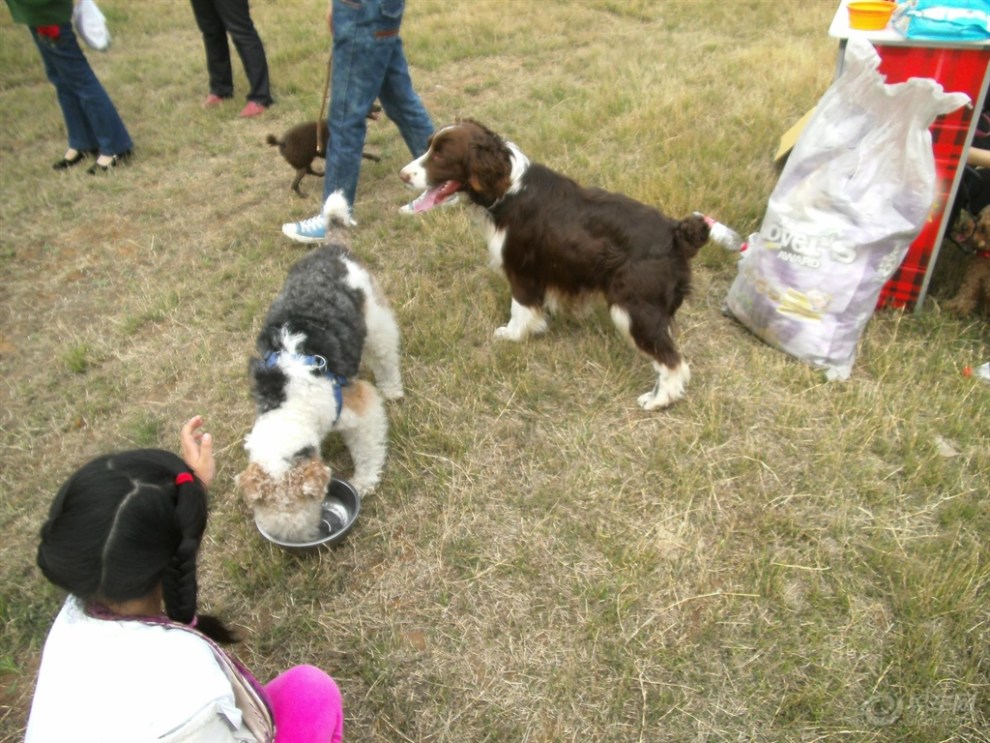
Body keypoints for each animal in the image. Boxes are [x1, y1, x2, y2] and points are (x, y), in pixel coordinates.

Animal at [400, 120, 716, 412]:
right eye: (428, 146)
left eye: (440, 154)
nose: (403, 175)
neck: (507, 189)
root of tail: (676, 234)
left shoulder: (521, 270)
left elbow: (520, 309)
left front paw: (512, 335)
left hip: (634, 308)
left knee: (672, 361)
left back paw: (658, 400)